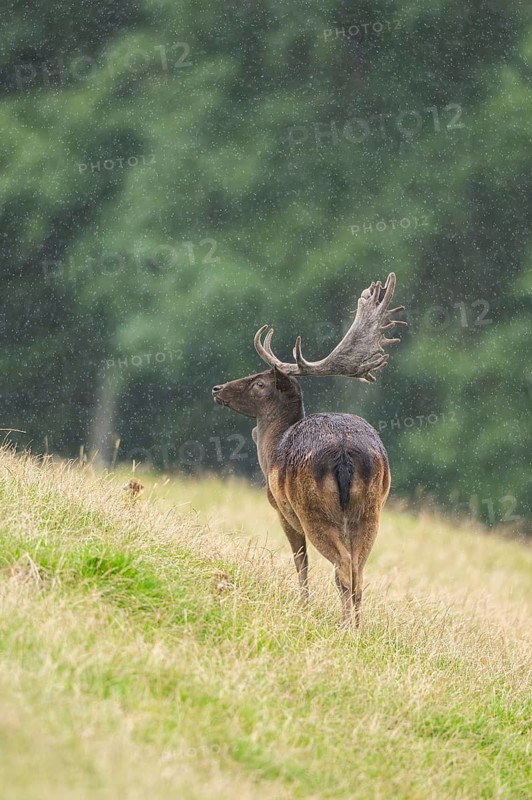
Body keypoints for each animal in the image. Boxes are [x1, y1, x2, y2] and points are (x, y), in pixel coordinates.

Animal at [212, 273, 406, 625]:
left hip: (313, 508)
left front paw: (302, 606)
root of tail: (344, 453)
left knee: (342, 568)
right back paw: (357, 626)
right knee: (358, 573)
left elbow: (300, 562)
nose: (218, 388)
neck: (270, 450)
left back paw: (346, 626)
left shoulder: (281, 510)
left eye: (259, 383)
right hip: (372, 509)